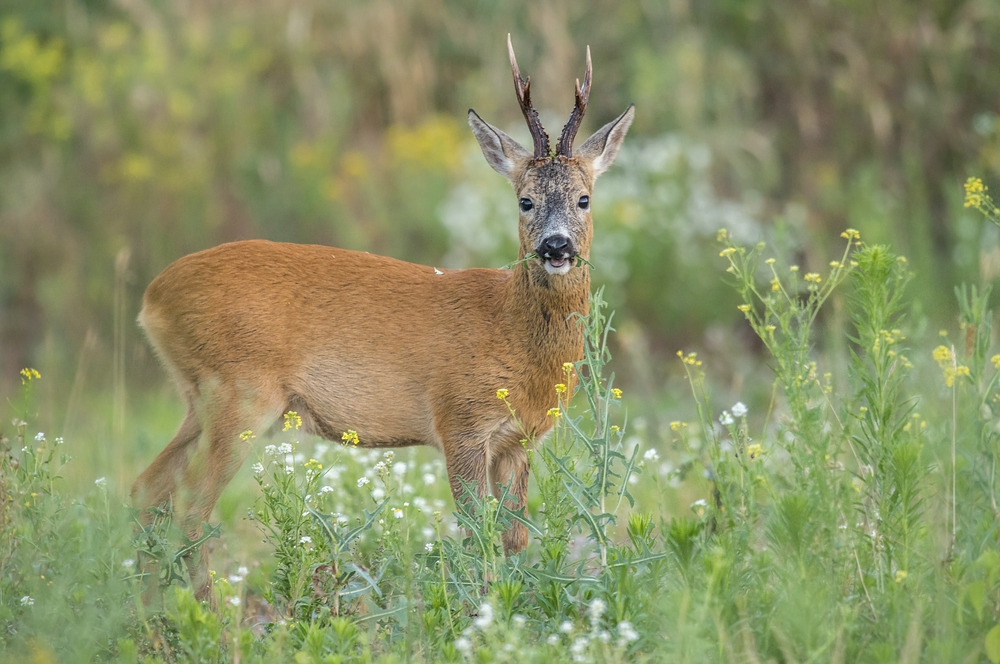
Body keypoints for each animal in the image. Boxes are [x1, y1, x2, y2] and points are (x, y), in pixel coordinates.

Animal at [131, 33, 632, 600]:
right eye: (525, 201)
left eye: (584, 199)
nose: (556, 246)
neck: (512, 332)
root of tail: (152, 298)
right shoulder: (460, 420)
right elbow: (477, 534)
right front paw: (484, 610)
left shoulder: (517, 441)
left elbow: (514, 536)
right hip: (240, 392)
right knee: (190, 505)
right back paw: (207, 614)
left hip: (200, 396)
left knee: (147, 488)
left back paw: (147, 608)